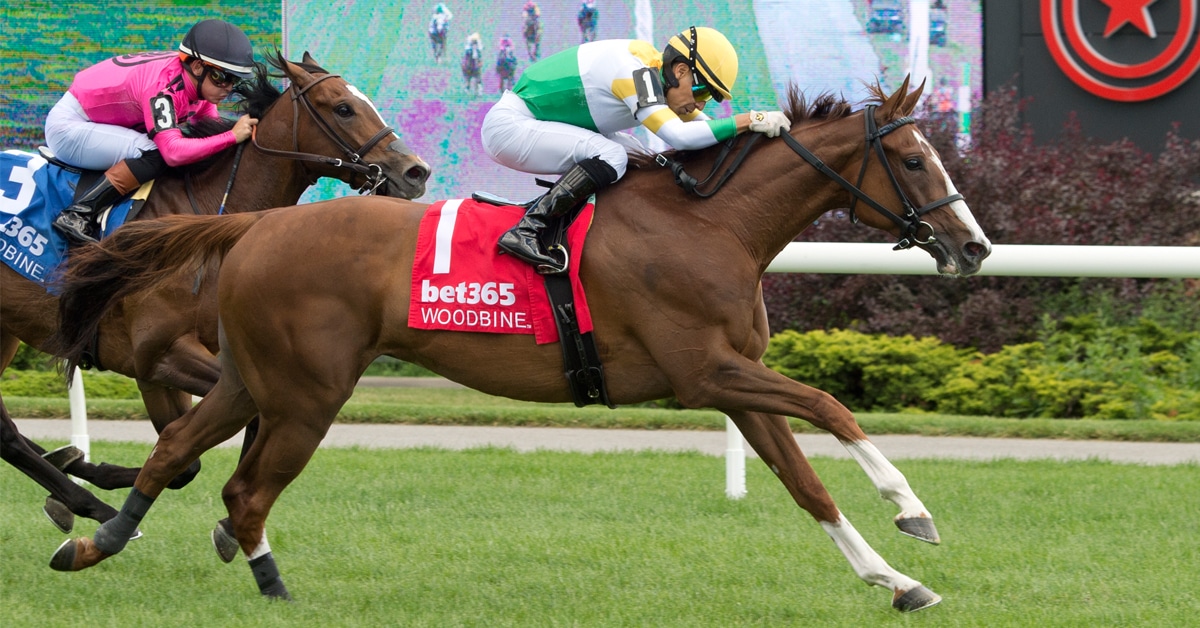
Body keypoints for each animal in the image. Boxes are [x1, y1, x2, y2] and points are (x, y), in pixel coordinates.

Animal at [0, 50, 429, 534]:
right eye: (343, 108)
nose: (416, 171)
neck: (206, 214)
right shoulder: (156, 354)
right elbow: (186, 460)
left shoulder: (177, 364)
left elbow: (199, 453)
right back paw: (89, 503)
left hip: (5, 330)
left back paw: (72, 482)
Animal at [48, 77, 990, 612]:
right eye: (914, 161)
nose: (975, 246)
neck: (709, 225)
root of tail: (257, 223)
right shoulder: (706, 371)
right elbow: (834, 406)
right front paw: (913, 509)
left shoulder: (735, 379)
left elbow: (807, 486)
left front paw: (896, 580)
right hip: (308, 393)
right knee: (242, 491)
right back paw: (265, 584)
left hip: (252, 377)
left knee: (177, 450)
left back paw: (92, 540)